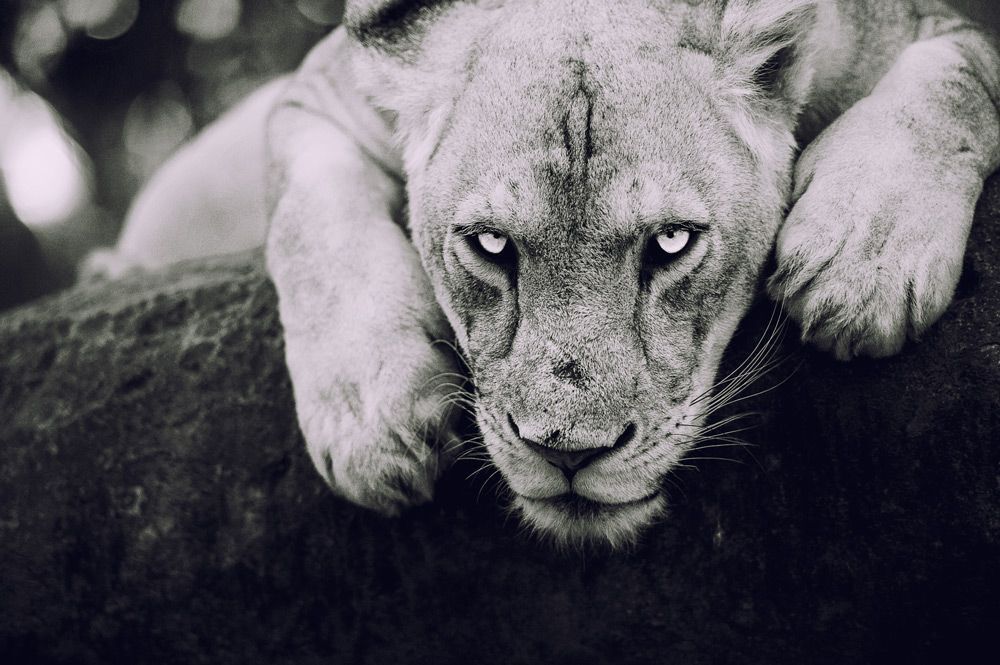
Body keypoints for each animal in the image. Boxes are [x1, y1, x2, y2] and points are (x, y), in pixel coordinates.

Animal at [93, 0, 1000, 546]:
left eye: (672, 242)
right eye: (491, 245)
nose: (568, 452)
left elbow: (964, 74)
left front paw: (862, 253)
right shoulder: (313, 95)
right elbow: (306, 218)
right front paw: (372, 422)